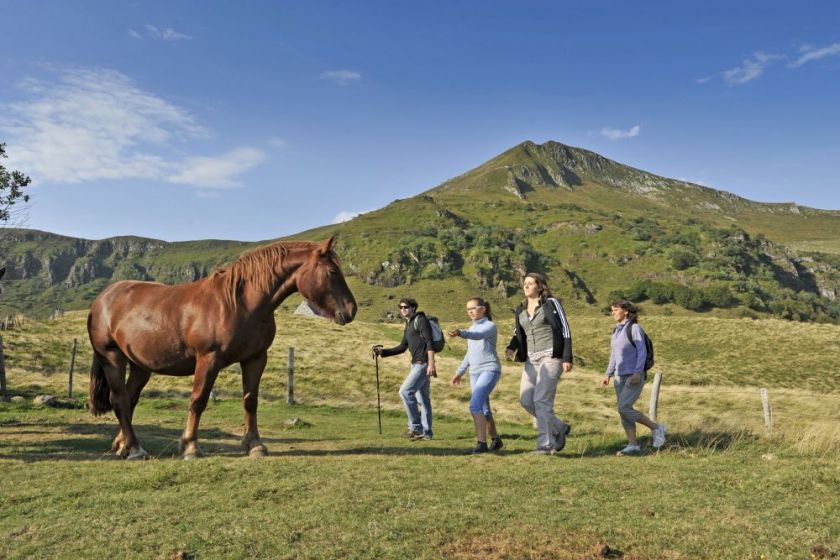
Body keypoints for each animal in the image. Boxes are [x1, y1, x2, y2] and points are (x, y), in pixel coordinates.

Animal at [87, 236, 356, 460]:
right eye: (333, 271)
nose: (351, 310)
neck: (238, 304)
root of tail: (102, 299)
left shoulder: (256, 358)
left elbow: (250, 401)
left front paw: (255, 445)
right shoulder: (209, 359)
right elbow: (198, 400)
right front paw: (191, 447)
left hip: (141, 366)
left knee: (129, 399)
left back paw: (122, 445)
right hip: (112, 358)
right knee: (119, 399)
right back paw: (134, 448)